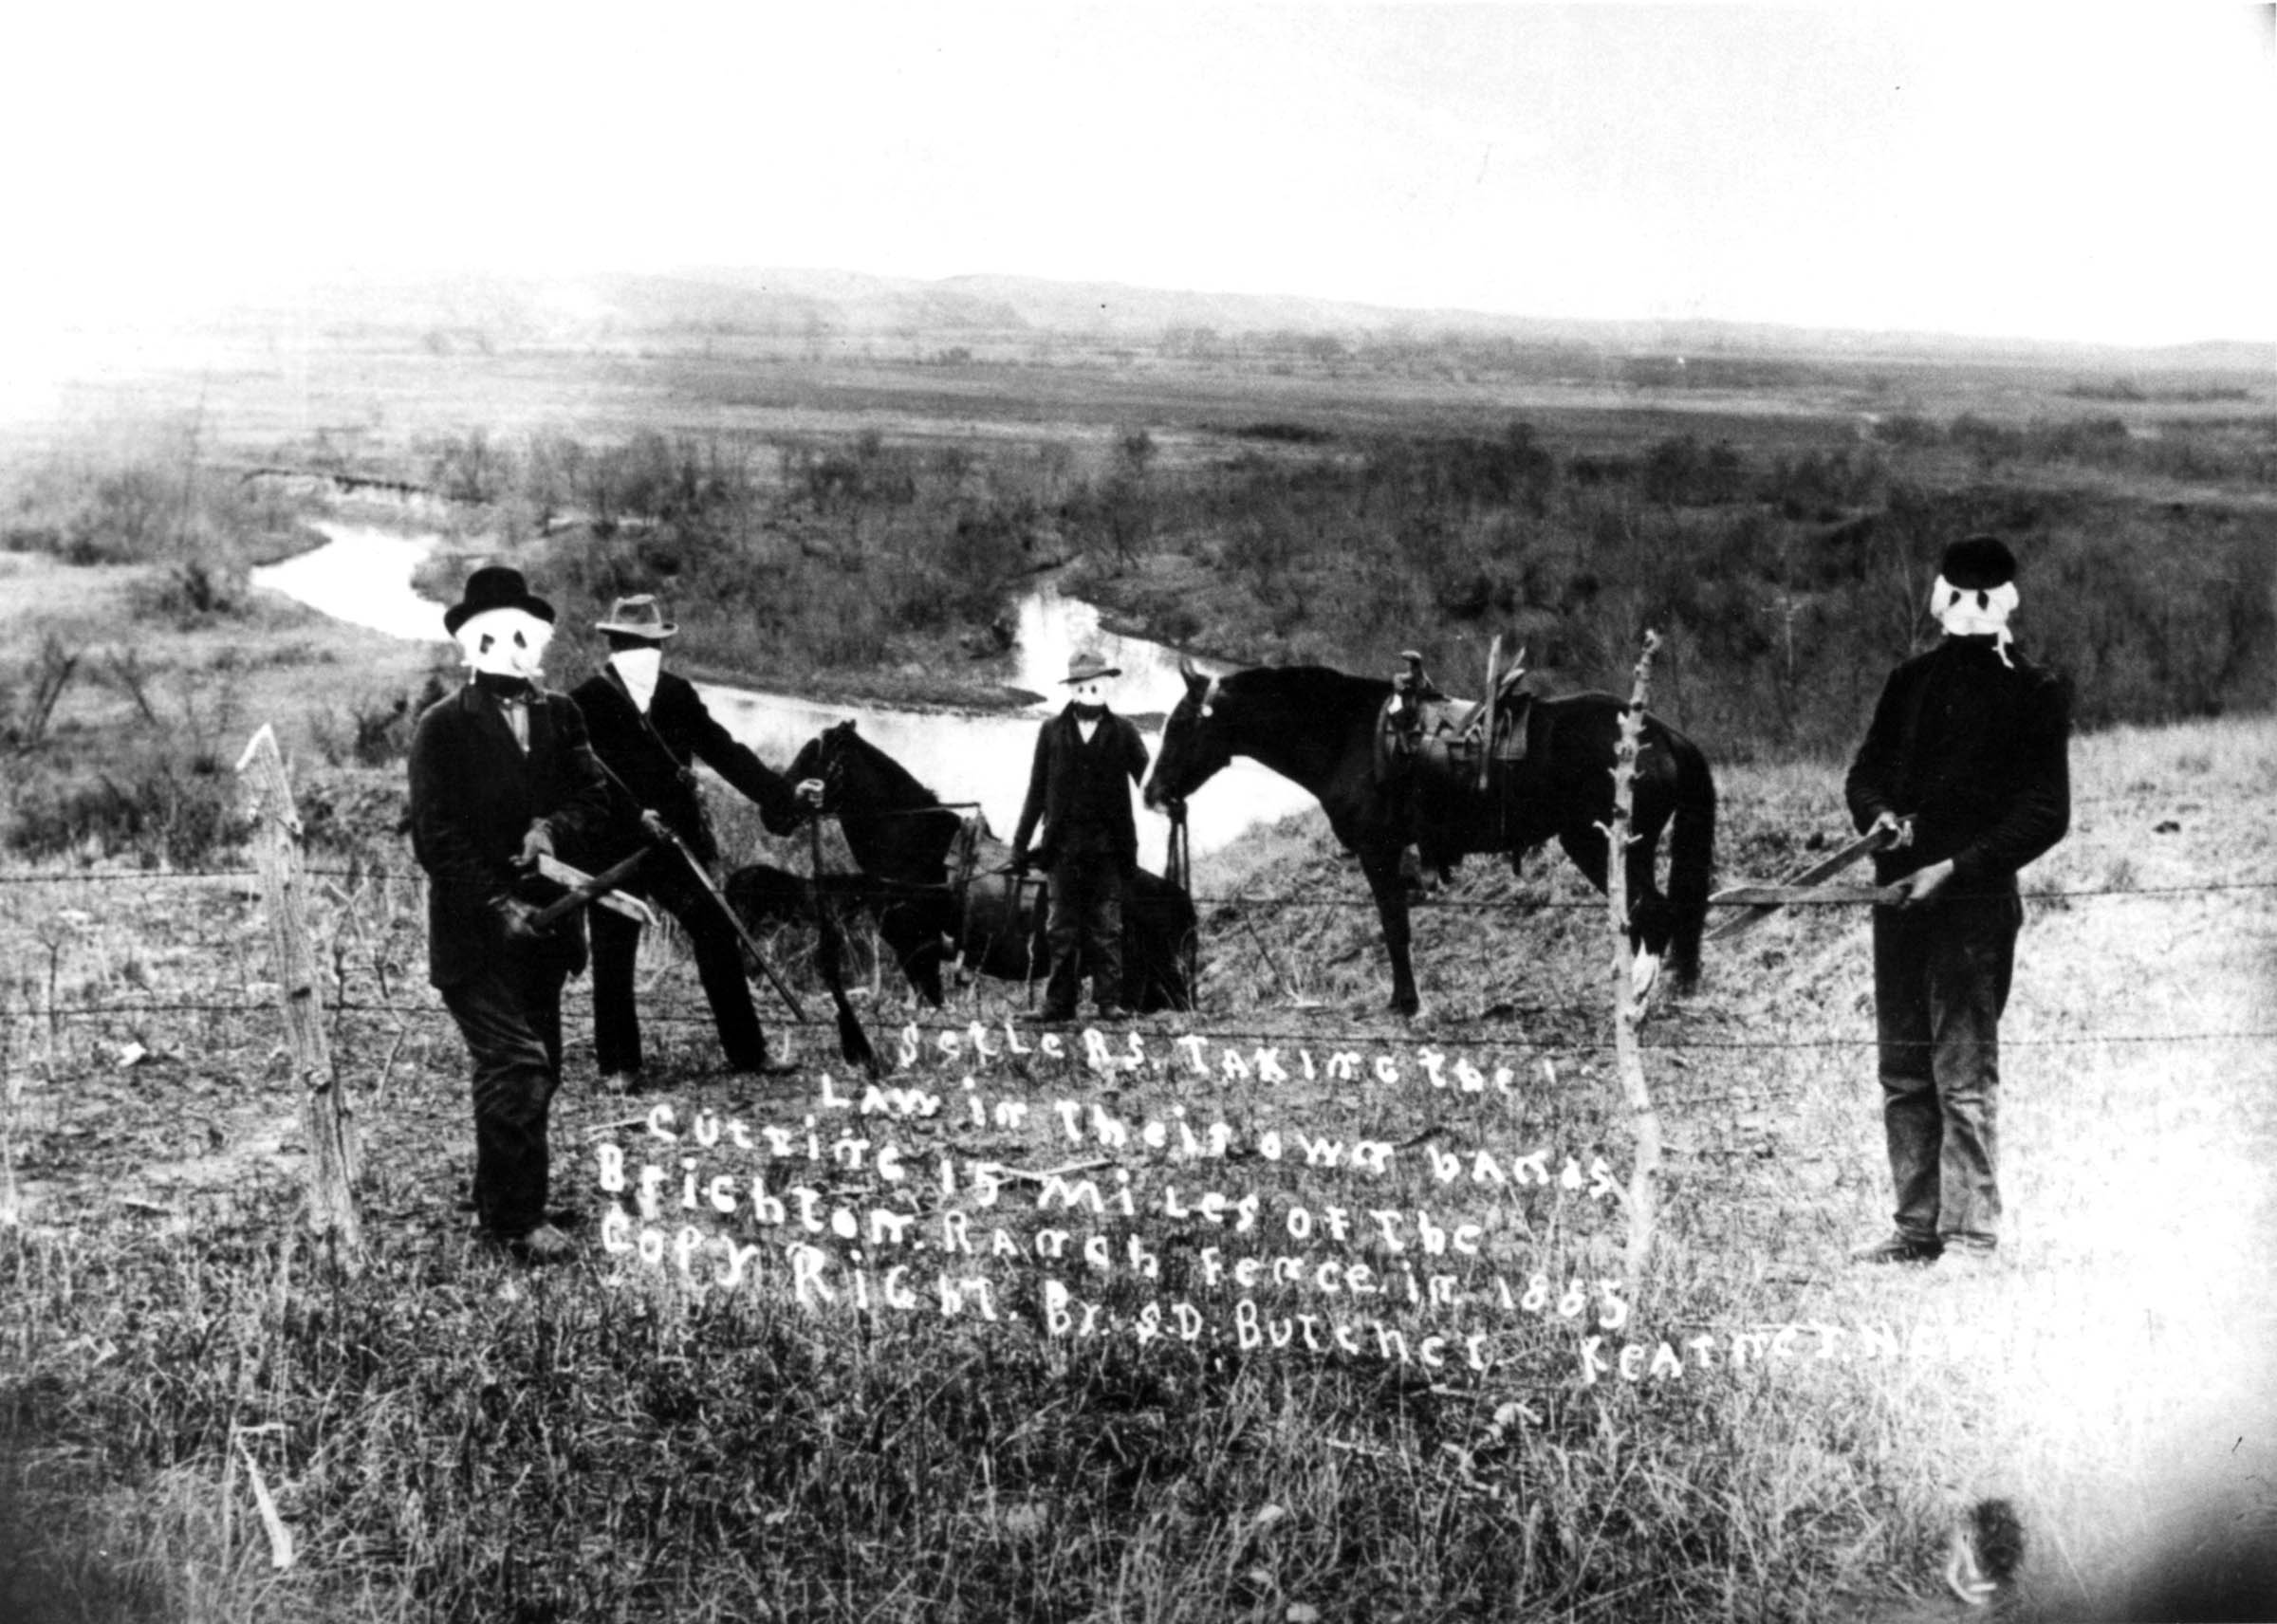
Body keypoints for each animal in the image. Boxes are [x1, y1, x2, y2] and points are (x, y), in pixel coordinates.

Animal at [1147, 660, 1712, 1011]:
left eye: (1180, 725)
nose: (1153, 793)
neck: (1349, 738)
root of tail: (1663, 736)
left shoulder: (1378, 853)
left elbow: (1394, 927)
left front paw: (1405, 1003)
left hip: (1603, 847)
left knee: (1653, 913)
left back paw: (1638, 996)